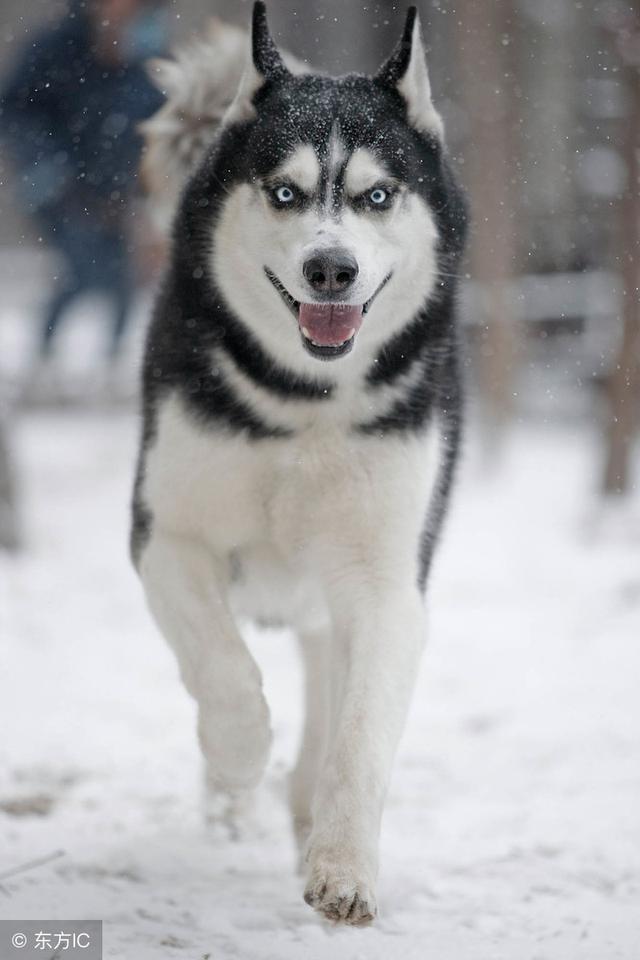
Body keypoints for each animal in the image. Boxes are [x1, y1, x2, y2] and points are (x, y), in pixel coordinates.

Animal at [132, 1, 468, 928]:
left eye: (376, 195)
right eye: (283, 191)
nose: (330, 268)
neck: (302, 405)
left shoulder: (388, 585)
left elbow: (357, 741)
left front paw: (343, 865)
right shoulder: (167, 536)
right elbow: (223, 669)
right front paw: (239, 757)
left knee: (325, 678)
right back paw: (234, 796)